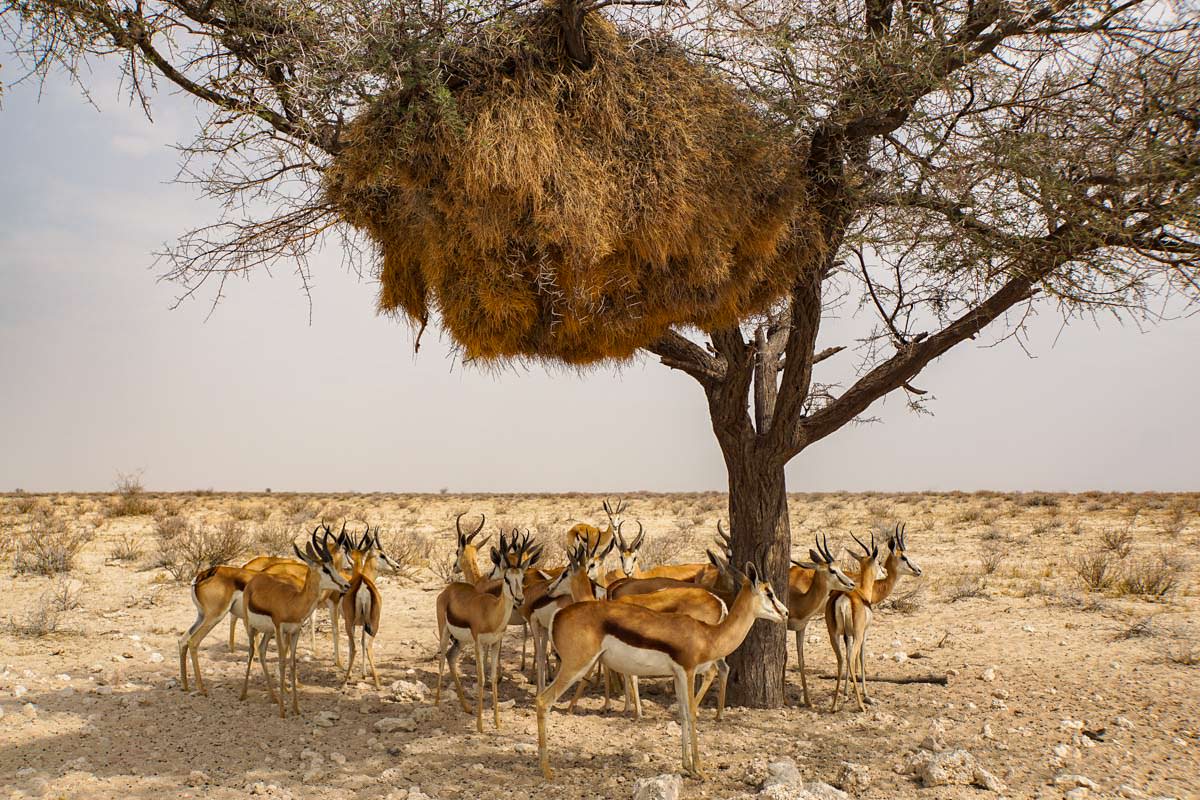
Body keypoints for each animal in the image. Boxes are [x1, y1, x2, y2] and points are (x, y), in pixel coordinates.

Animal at [234, 532, 348, 719]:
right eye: (325, 569)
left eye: (333, 566)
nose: (346, 585)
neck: (293, 602)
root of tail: (255, 579)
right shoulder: (280, 629)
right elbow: (281, 662)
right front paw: (282, 711)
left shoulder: (295, 631)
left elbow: (293, 663)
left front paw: (296, 708)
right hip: (251, 626)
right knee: (251, 651)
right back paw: (243, 694)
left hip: (268, 632)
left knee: (262, 650)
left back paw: (273, 696)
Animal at [436, 532, 540, 734]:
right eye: (507, 578)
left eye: (522, 577)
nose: (519, 599)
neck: (491, 612)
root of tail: (449, 589)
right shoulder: (479, 643)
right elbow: (482, 677)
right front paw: (480, 725)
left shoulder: (495, 643)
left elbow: (491, 679)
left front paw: (497, 723)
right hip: (445, 633)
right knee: (443, 659)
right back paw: (436, 704)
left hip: (461, 640)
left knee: (451, 657)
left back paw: (466, 707)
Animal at [537, 556, 787, 782]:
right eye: (769, 593)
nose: (784, 613)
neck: (709, 635)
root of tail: (559, 615)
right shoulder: (688, 671)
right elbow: (692, 713)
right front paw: (700, 770)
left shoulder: (677, 675)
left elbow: (683, 713)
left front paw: (687, 767)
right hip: (575, 666)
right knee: (543, 701)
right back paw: (546, 771)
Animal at [782, 532, 859, 705]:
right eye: (832, 570)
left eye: (839, 566)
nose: (852, 584)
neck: (798, 601)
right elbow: (784, 656)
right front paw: (784, 699)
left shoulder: (801, 628)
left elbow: (801, 659)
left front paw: (808, 701)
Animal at [825, 532, 892, 714]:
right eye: (878, 562)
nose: (884, 571)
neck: (863, 593)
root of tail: (844, 599)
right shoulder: (864, 633)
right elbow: (861, 657)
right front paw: (866, 694)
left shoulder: (847, 635)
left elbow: (849, 656)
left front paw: (846, 693)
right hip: (857, 634)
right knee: (851, 657)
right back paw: (861, 705)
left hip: (833, 635)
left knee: (842, 659)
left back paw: (834, 705)